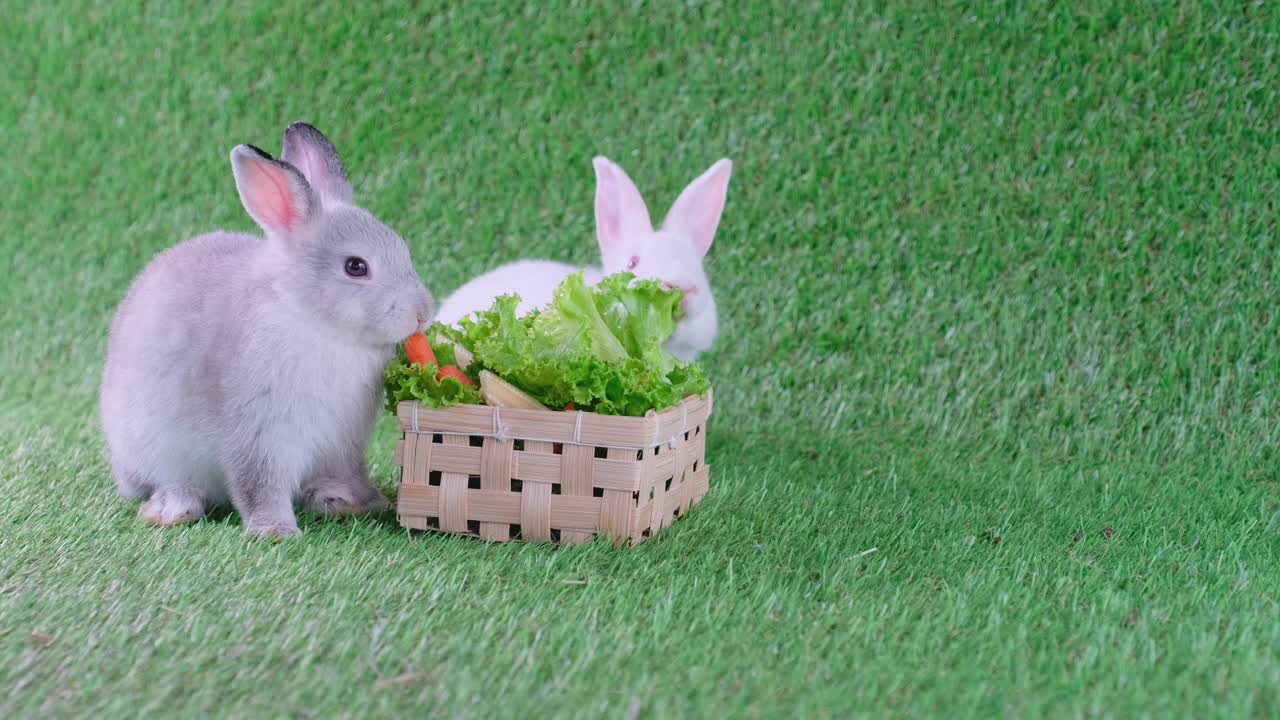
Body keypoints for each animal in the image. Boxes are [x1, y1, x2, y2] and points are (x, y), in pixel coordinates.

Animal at [99, 122, 434, 536]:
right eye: (356, 267)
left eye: (403, 247)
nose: (422, 313)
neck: (313, 319)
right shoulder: (260, 433)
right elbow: (259, 483)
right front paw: (276, 531)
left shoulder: (344, 441)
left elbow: (350, 474)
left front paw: (366, 503)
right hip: (151, 448)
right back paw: (172, 509)